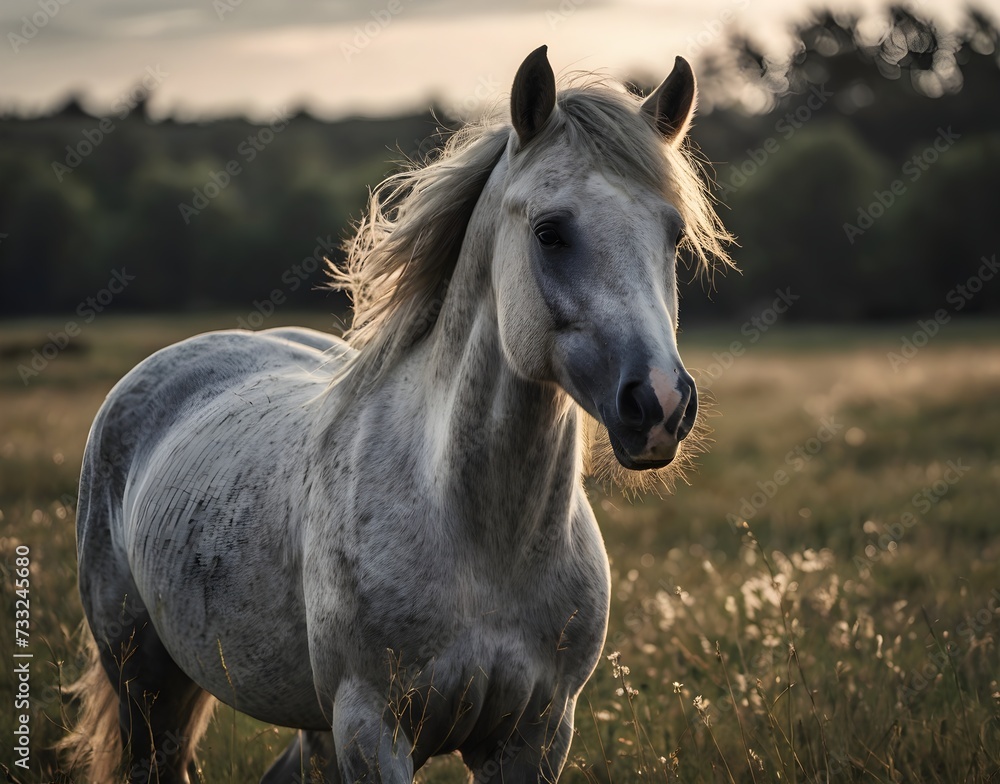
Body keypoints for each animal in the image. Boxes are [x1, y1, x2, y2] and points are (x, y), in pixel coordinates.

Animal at [62, 45, 732, 783]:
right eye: (551, 232)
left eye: (673, 235)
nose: (661, 403)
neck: (481, 538)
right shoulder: (371, 727)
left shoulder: (537, 734)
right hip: (146, 684)